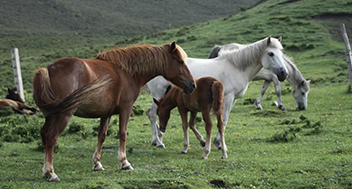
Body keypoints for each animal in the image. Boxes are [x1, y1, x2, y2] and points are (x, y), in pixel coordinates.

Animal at [33, 41, 195, 182]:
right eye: (180, 61)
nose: (192, 85)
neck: (127, 72)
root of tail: (47, 69)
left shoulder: (107, 113)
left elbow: (101, 136)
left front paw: (97, 164)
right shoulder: (126, 108)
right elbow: (122, 134)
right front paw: (124, 163)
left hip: (52, 115)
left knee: (45, 134)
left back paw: (46, 171)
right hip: (64, 114)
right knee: (51, 137)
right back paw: (51, 173)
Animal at [147, 37, 288, 148]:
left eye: (281, 53)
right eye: (271, 53)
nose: (284, 73)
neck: (236, 67)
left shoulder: (233, 99)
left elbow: (224, 120)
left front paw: (217, 142)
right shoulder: (228, 97)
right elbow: (224, 119)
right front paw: (217, 143)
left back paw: (156, 139)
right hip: (158, 94)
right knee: (153, 114)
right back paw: (158, 142)